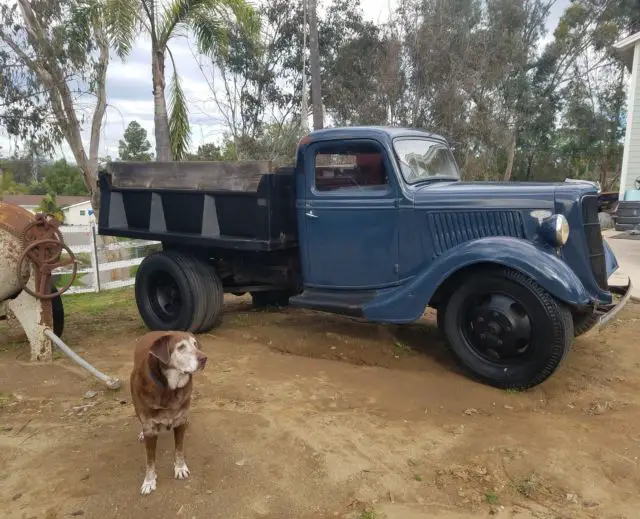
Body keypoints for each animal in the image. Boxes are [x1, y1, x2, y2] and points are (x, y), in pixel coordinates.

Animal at [130, 332, 208, 498]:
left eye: (195, 344)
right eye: (181, 347)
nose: (204, 358)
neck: (170, 389)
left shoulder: (180, 421)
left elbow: (179, 449)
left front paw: (180, 468)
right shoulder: (150, 429)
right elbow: (150, 460)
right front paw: (149, 481)